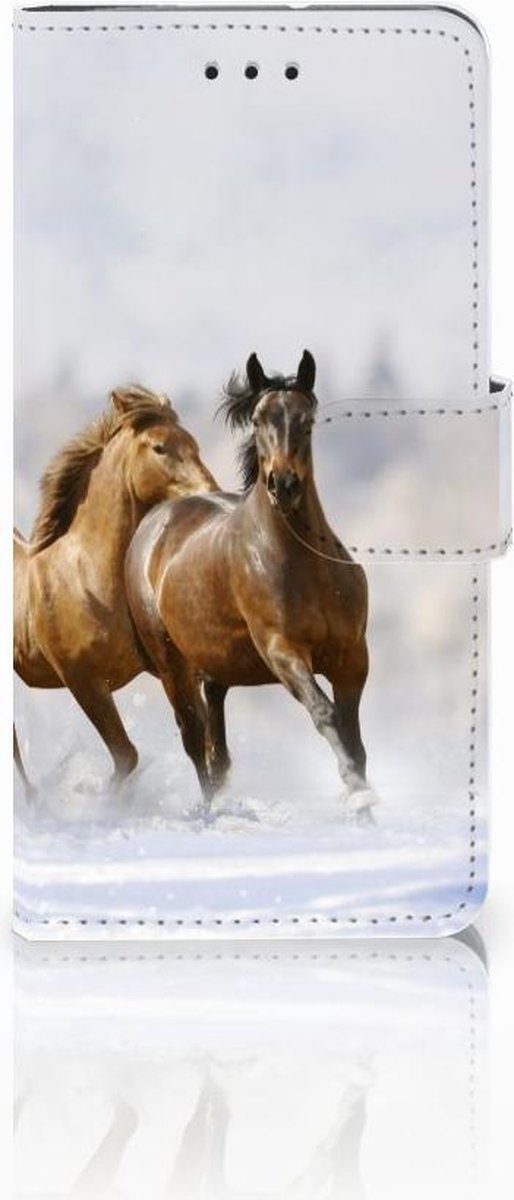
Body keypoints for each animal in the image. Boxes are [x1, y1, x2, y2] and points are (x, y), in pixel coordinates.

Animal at [14, 385, 217, 789]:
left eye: (194, 444)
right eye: (159, 447)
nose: (210, 491)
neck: (88, 577)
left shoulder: (173, 668)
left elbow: (200, 740)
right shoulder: (84, 681)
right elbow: (126, 756)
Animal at [125, 352, 374, 817]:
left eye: (307, 419)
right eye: (258, 420)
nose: (284, 484)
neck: (305, 568)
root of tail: (154, 522)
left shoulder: (352, 658)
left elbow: (353, 738)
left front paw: (364, 806)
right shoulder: (283, 651)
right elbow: (326, 714)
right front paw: (356, 793)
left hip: (216, 667)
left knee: (216, 747)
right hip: (171, 665)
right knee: (194, 739)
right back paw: (208, 812)